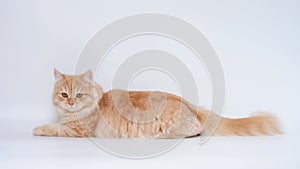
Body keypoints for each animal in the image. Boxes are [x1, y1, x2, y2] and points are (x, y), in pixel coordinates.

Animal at [34, 69, 282, 138]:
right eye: (64, 95)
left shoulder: (78, 131)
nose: (71, 103)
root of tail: (193, 106)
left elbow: (54, 128)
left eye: (79, 95)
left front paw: (38, 128)